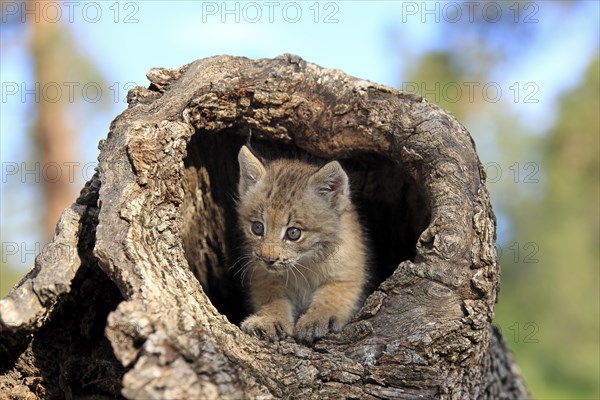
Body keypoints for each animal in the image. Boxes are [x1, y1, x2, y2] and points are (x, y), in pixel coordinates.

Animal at [237, 145, 368, 342]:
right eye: (257, 228)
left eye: (293, 233)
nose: (268, 259)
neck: (304, 263)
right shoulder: (263, 275)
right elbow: (272, 298)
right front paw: (270, 319)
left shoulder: (348, 273)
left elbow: (334, 296)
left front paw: (317, 319)